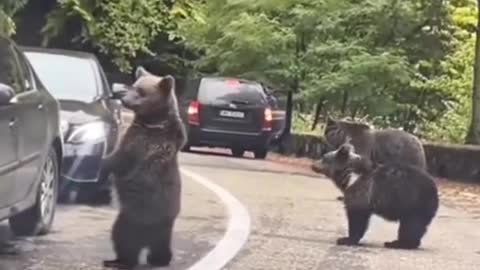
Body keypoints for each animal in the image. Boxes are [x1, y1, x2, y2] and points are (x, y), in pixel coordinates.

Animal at [100, 66, 187, 268]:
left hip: (133, 217)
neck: (154, 120)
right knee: (160, 248)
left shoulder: (138, 144)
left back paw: (118, 261)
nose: (124, 99)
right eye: (134, 85)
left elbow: (117, 159)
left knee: (123, 239)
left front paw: (101, 162)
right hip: (163, 229)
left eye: (141, 91)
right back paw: (160, 259)